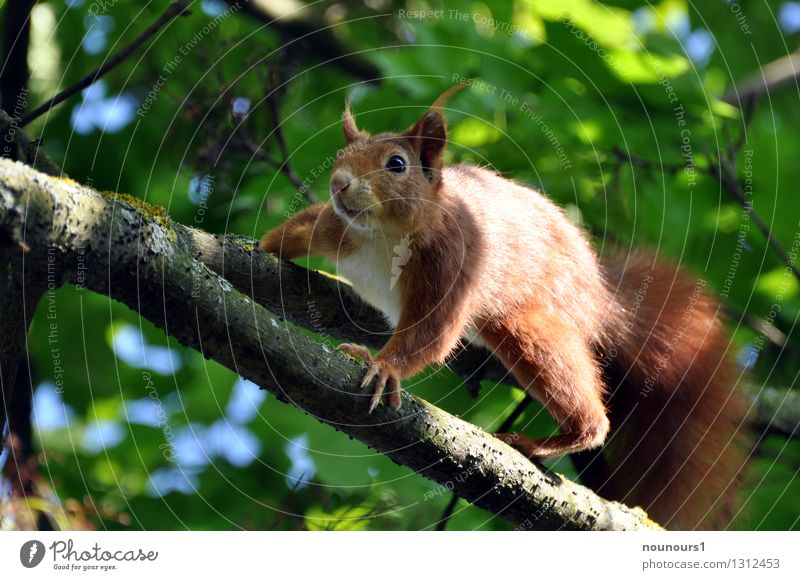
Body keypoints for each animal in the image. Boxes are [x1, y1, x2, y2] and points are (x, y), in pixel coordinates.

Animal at [260, 87, 752, 532]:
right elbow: (292, 232)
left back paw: (546, 441)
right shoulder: (335, 227)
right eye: (342, 154)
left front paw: (384, 367)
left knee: (586, 408)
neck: (385, 236)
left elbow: (432, 334)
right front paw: (251, 249)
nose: (339, 183)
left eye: (396, 164)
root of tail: (602, 298)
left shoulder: (451, 263)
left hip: (527, 324)